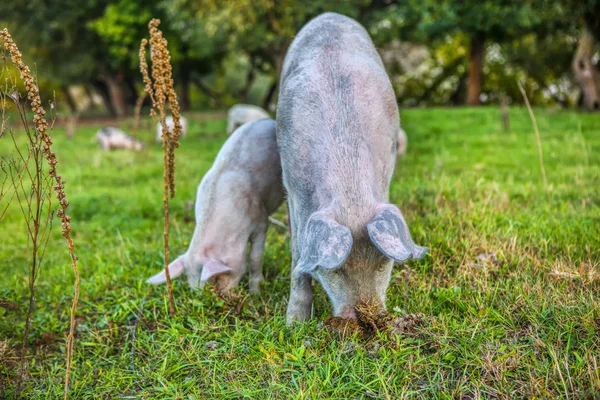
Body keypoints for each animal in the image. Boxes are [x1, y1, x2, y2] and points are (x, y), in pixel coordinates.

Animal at [146, 119, 284, 294]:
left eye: (216, 279)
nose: (224, 297)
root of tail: (268, 120)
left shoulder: (260, 220)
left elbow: (254, 258)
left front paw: (255, 293)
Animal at [276, 12, 426, 324]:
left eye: (383, 264)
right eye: (335, 270)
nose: (368, 317)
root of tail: (329, 14)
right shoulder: (292, 185)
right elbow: (298, 252)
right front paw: (295, 323)